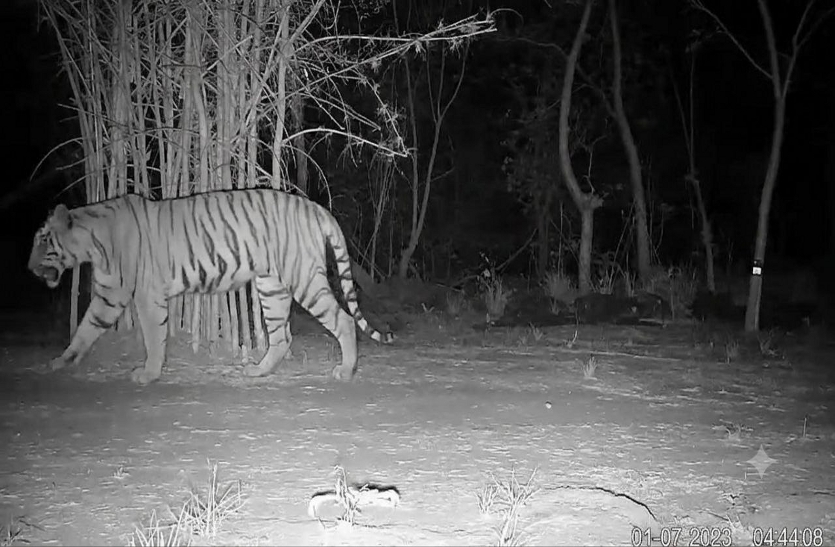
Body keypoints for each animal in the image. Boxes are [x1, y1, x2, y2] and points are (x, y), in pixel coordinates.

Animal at [27, 188, 393, 385]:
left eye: (43, 241)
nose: (29, 268)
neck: (93, 242)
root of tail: (317, 207)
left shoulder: (143, 295)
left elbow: (153, 338)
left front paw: (148, 373)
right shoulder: (108, 294)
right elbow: (85, 329)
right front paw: (61, 362)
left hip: (304, 279)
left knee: (343, 320)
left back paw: (345, 370)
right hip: (271, 286)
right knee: (281, 336)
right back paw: (257, 371)